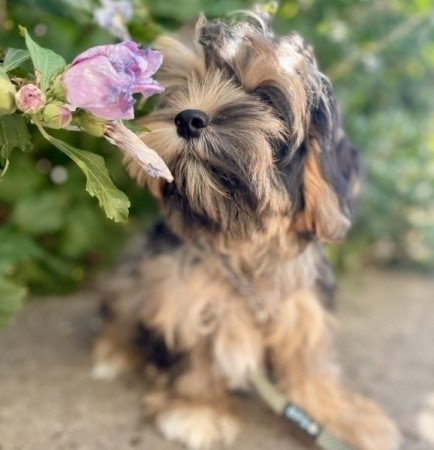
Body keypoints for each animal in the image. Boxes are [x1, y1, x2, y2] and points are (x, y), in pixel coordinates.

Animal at [94, 14, 400, 450]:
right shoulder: (184, 295)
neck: (241, 241)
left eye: (265, 98)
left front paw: (338, 415)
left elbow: (309, 361)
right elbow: (197, 348)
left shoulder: (301, 305)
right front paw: (198, 406)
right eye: (181, 87)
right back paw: (115, 352)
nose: (187, 118)